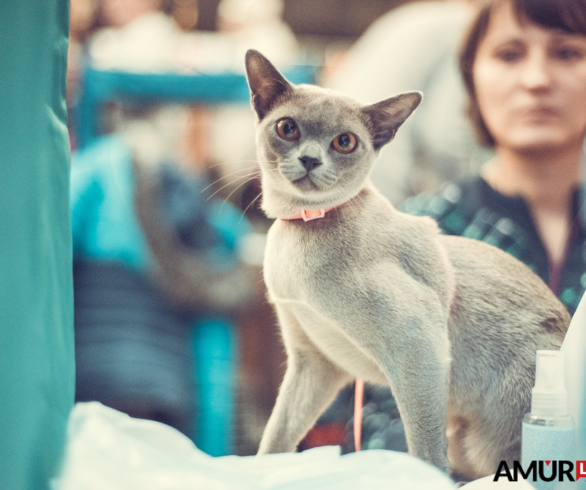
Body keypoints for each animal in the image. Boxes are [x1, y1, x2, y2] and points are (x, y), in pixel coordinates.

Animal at [244, 50, 568, 482]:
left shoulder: (418, 347)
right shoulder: (314, 362)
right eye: (287, 128)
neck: (302, 226)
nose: (310, 159)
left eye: (344, 142)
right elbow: (276, 438)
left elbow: (425, 451)